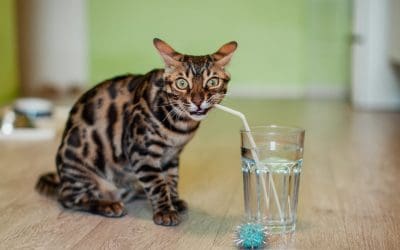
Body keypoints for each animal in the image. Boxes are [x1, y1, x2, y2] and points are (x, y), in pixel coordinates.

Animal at [36, 38, 238, 226]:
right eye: (181, 83)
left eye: (212, 81)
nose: (197, 101)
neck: (180, 126)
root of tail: (61, 180)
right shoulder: (142, 152)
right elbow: (158, 185)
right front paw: (165, 211)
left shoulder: (172, 156)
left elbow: (171, 179)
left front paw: (173, 201)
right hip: (79, 162)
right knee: (68, 198)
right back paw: (107, 204)